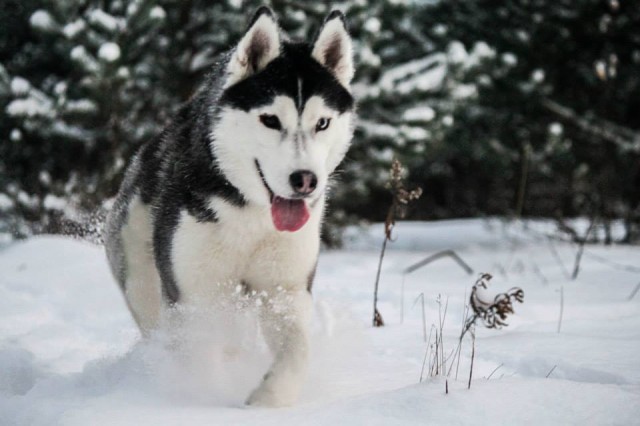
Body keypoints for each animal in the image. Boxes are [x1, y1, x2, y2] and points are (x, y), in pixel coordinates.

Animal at [104, 6, 356, 406]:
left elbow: (297, 351)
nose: (305, 180)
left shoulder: (284, 288)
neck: (251, 214)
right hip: (140, 273)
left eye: (322, 122)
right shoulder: (194, 293)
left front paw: (269, 398)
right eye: (270, 119)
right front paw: (202, 396)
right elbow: (197, 355)